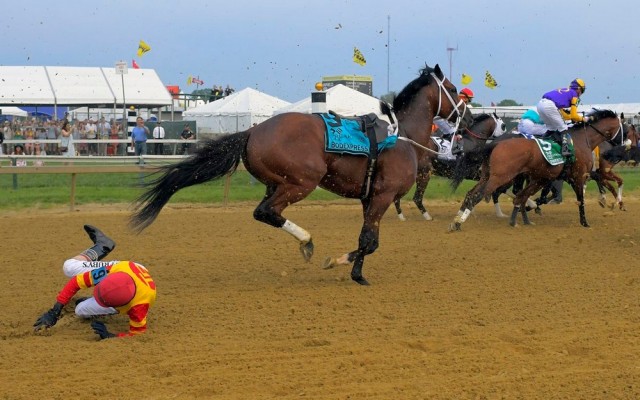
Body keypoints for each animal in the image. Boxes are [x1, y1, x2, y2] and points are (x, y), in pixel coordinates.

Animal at [130, 64, 460, 284]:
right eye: (455, 90)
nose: (465, 112)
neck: (402, 136)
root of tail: (252, 130)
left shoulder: (370, 198)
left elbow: (368, 239)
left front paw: (348, 266)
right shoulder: (383, 196)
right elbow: (369, 241)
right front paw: (347, 268)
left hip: (276, 183)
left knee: (265, 212)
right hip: (302, 182)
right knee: (266, 211)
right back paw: (307, 241)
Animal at [448, 108, 624, 231]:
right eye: (626, 128)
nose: (622, 147)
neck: (582, 140)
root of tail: (496, 143)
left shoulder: (546, 178)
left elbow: (524, 196)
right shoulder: (578, 176)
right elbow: (580, 198)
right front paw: (586, 221)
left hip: (488, 175)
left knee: (472, 193)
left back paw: (459, 216)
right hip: (500, 177)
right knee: (479, 195)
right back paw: (458, 223)